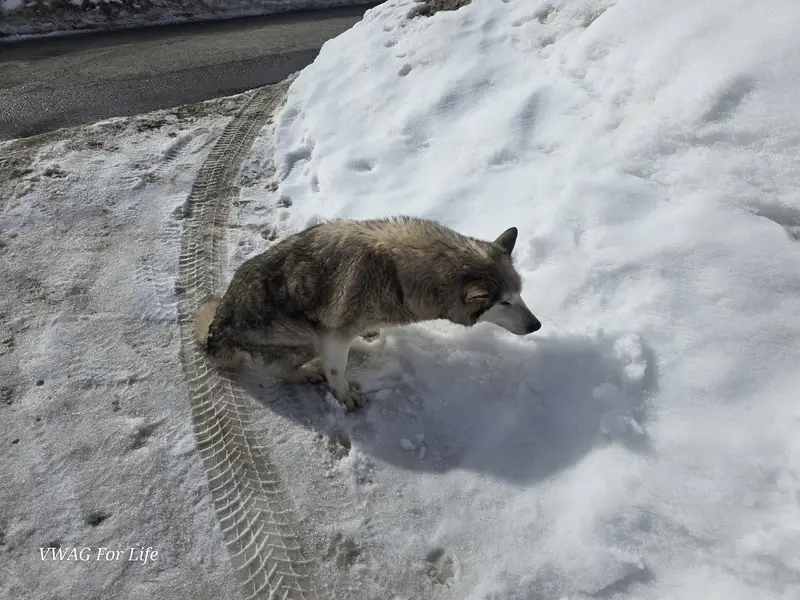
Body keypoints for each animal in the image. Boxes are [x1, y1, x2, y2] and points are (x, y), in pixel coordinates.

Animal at [195, 216, 541, 411]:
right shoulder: (334, 334)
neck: (397, 271)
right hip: (303, 336)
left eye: (519, 294)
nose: (536, 325)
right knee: (279, 370)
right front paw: (344, 397)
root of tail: (216, 331)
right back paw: (307, 372)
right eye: (503, 303)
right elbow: (337, 370)